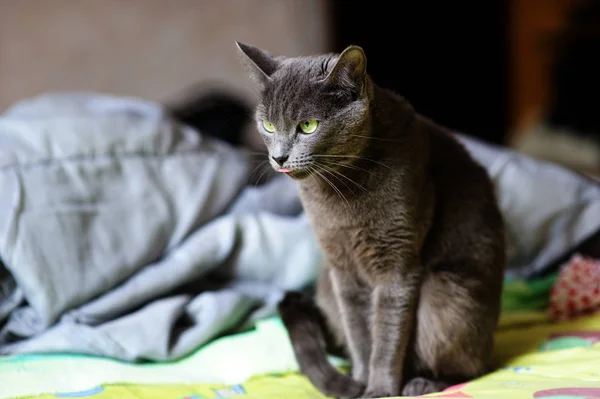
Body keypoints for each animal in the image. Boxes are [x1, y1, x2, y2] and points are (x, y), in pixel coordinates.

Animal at [237, 42, 504, 398]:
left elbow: (387, 335)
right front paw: (361, 382)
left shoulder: (397, 264)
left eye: (308, 126)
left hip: (446, 297)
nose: (278, 157)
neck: (339, 193)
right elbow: (359, 333)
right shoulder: (342, 269)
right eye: (267, 126)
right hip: (326, 286)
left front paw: (379, 389)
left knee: (473, 367)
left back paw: (422, 383)